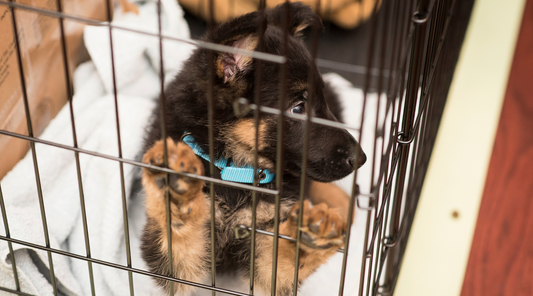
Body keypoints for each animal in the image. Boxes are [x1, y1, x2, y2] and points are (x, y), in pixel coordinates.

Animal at [141, 2, 366, 296]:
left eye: (321, 101)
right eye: (298, 109)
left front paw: (314, 234)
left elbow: (283, 259)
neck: (235, 168)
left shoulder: (268, 237)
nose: (361, 158)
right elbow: (177, 238)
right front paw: (178, 189)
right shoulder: (176, 266)